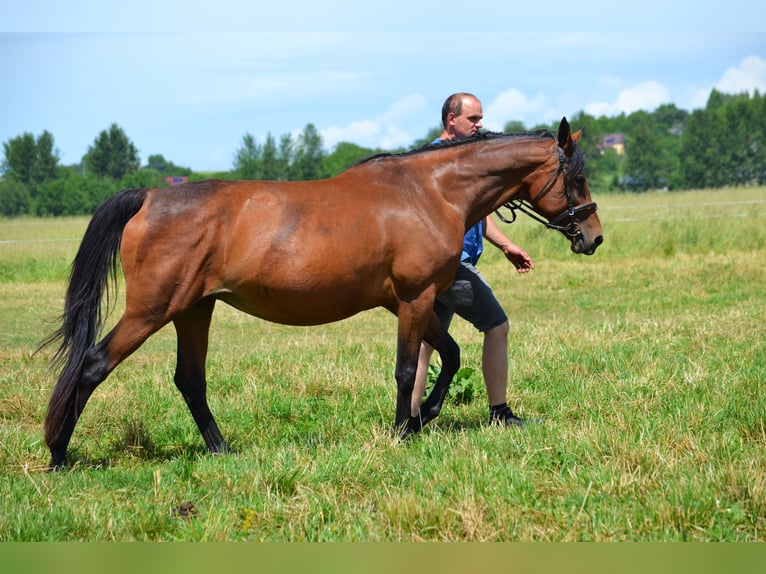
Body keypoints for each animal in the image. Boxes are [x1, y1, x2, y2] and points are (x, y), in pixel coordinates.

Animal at [40, 118, 608, 472]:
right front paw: (403, 429)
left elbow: (448, 355)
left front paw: (424, 416)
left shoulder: (418, 302)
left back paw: (222, 450)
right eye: (577, 177)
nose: (594, 237)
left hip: (194, 310)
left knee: (190, 381)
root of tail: (150, 197)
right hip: (152, 311)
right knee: (93, 366)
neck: (430, 193)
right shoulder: (415, 298)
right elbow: (409, 368)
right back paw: (59, 456)